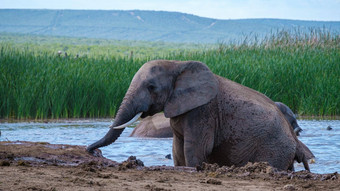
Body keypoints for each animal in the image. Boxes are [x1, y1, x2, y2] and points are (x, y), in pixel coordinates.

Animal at [87, 60, 314, 172]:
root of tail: (293, 138)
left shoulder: (204, 111)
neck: (177, 63)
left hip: (275, 147)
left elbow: (194, 147)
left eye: (151, 87)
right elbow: (178, 148)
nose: (91, 151)